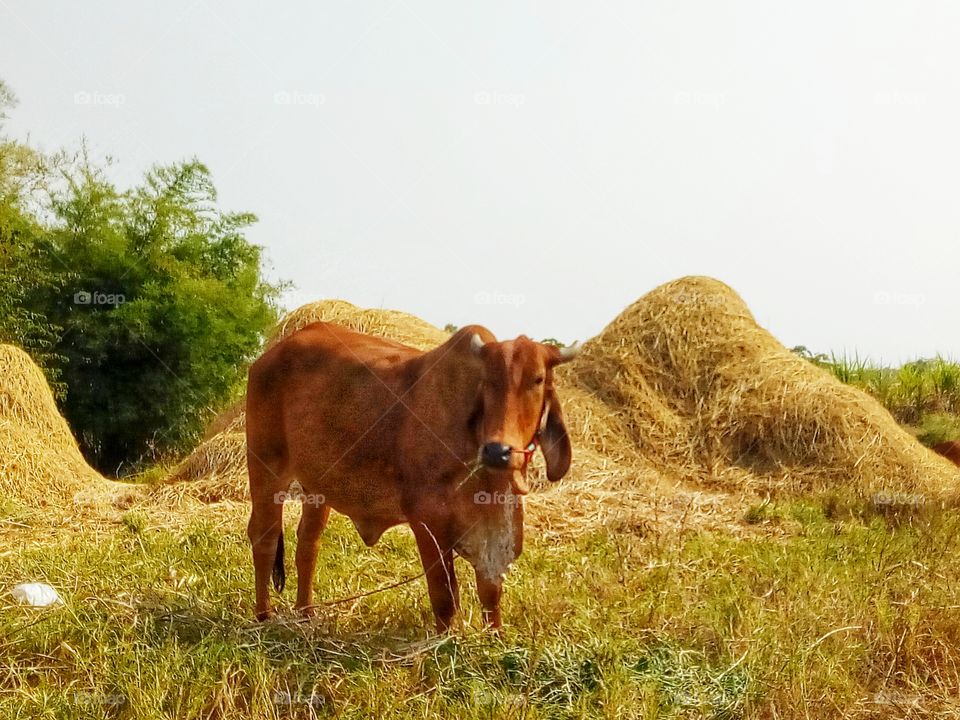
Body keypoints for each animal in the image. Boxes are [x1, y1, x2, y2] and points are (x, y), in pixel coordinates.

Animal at [245, 322, 580, 631]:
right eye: (487, 381)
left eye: (537, 379)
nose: (498, 451)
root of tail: (270, 355)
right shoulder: (427, 519)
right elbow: (444, 595)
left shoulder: (492, 531)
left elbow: (490, 594)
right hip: (266, 467)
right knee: (264, 537)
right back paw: (264, 617)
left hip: (316, 486)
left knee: (308, 541)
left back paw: (306, 614)